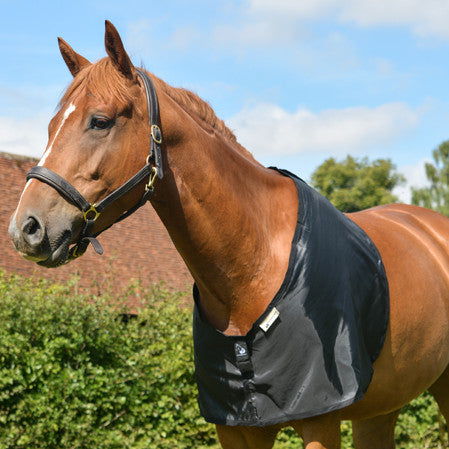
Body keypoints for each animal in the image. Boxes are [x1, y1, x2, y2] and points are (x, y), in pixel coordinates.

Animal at [7, 21, 449, 448]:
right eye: (51, 125)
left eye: (99, 121)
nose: (25, 229)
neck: (254, 263)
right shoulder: (237, 429)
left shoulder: (320, 422)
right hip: (380, 409)